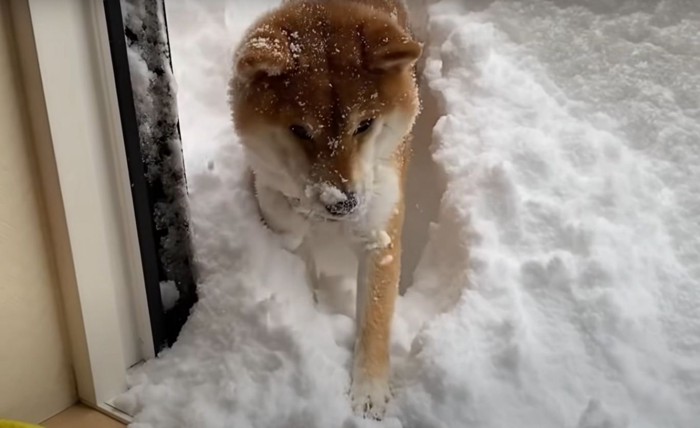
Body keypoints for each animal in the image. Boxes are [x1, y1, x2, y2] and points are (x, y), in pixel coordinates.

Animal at [228, 0, 422, 418]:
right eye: (300, 130)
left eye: (365, 124)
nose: (344, 202)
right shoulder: (286, 231)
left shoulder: (379, 238)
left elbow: (375, 320)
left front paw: (369, 390)